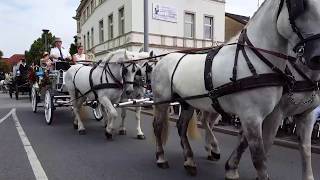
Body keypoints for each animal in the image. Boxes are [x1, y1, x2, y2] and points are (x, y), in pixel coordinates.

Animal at [151, 0, 320, 179]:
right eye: (299, 5)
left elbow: (249, 144)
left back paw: (190, 160)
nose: (317, 57)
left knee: (182, 127)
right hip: (162, 101)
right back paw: (161, 158)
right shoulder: (256, 116)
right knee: (158, 126)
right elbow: (259, 157)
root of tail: (161, 61)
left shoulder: (260, 116)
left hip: (188, 103)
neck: (255, 61)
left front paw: (231, 167)